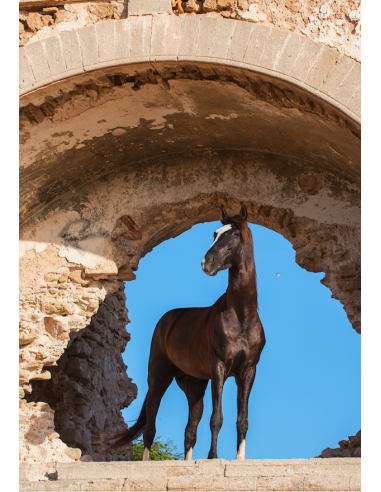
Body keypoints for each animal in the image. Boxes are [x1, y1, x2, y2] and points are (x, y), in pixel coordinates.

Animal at [94, 206, 264, 460]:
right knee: (150, 428)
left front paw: (239, 459)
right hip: (158, 378)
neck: (241, 316)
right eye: (215, 233)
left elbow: (241, 420)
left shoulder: (247, 371)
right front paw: (212, 458)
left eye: (234, 234)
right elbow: (217, 418)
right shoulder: (220, 368)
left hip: (194, 386)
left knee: (189, 432)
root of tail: (167, 319)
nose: (207, 263)